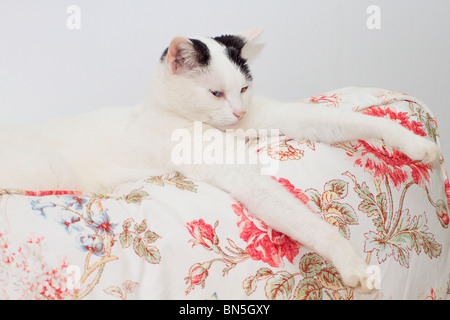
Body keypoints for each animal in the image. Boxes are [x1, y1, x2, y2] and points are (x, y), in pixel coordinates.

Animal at [0, 28, 438, 294]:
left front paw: (417, 144)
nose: (239, 113)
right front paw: (353, 267)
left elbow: (349, 118)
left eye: (243, 88)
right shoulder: (245, 177)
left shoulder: (276, 116)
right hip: (48, 169)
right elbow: (304, 219)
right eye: (215, 93)